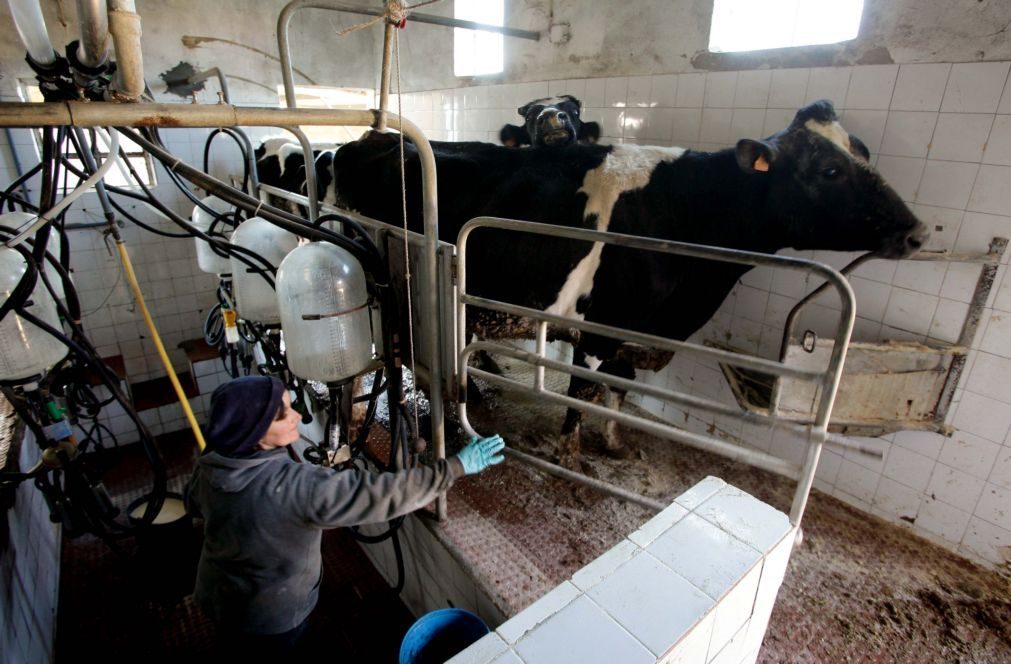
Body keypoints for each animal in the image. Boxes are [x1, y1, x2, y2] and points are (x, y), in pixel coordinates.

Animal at [331, 101, 926, 468]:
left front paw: (615, 443)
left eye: (862, 151)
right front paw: (570, 455)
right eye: (829, 170)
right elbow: (583, 391)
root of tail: (366, 138)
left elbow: (620, 385)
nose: (916, 231)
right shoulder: (601, 326)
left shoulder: (638, 330)